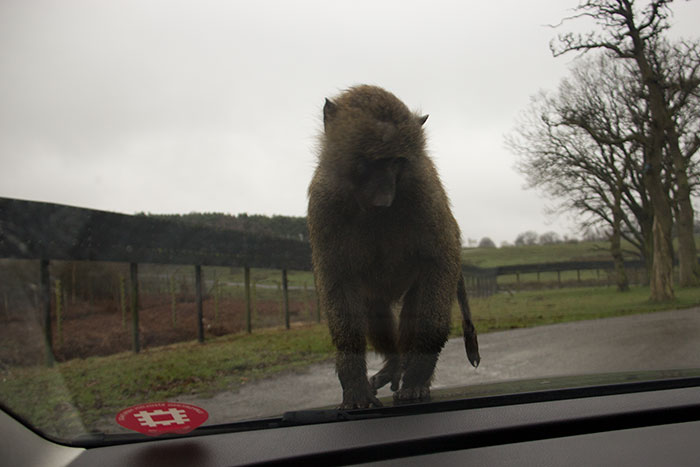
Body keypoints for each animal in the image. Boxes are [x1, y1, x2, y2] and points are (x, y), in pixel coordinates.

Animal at [307, 85, 480, 409]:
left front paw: (417, 376)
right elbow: (338, 279)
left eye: (396, 162)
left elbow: (441, 260)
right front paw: (354, 384)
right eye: (368, 162)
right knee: (373, 307)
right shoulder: (324, 202)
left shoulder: (423, 192)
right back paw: (394, 365)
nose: (384, 200)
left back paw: (410, 370)